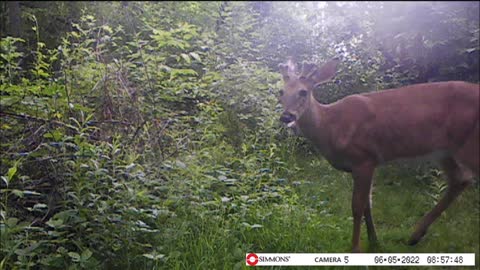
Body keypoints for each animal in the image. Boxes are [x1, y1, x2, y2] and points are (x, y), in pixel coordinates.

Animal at [280, 58, 478, 252]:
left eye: (303, 92)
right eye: (281, 91)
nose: (286, 116)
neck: (332, 126)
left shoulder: (363, 159)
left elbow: (357, 205)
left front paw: (355, 248)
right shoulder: (367, 163)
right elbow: (368, 203)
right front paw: (374, 241)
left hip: (468, 145)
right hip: (444, 150)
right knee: (460, 179)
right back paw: (415, 236)